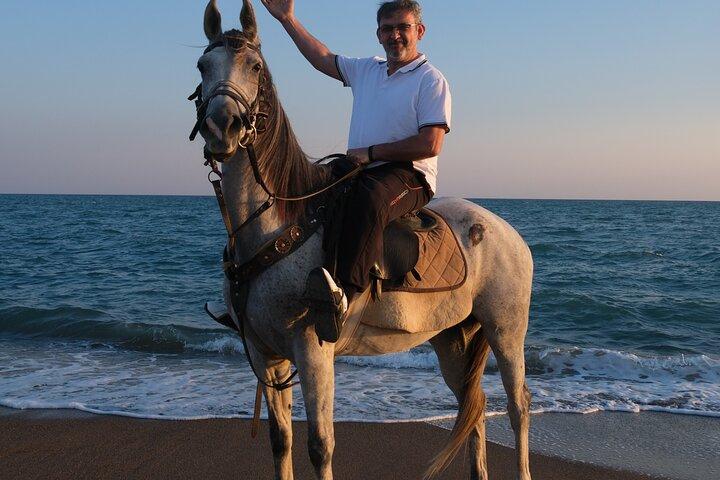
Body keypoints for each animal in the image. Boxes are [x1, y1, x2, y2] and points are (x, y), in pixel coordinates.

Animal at [189, 2, 533, 479]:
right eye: (203, 66)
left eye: (254, 66)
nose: (223, 126)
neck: (274, 228)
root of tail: (508, 233)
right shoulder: (264, 354)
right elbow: (281, 440)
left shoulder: (313, 352)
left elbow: (320, 446)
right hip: (452, 337)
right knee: (474, 404)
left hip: (506, 329)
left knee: (518, 406)